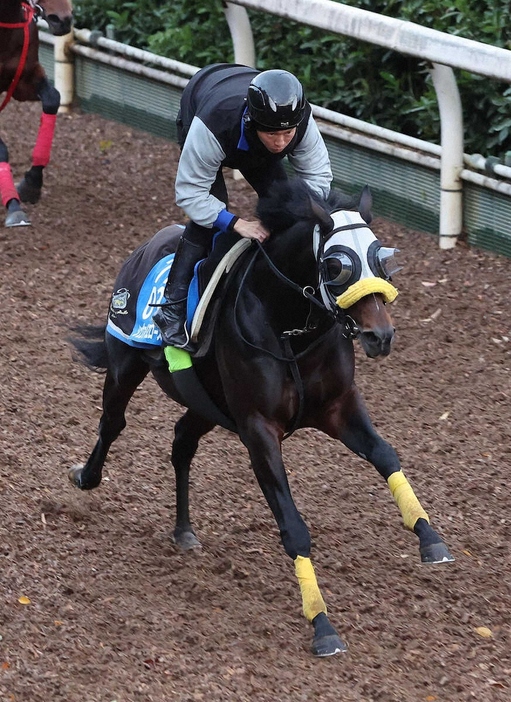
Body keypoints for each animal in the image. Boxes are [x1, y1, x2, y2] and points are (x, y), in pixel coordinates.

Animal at [69, 180, 456, 660]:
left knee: (181, 441)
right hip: (126, 361)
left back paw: (184, 530)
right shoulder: (258, 430)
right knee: (113, 421)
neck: (288, 327)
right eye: (336, 265)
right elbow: (293, 526)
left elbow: (386, 455)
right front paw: (322, 624)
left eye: (381, 256)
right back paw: (86, 476)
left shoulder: (338, 407)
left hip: (206, 404)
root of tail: (149, 244)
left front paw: (430, 537)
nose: (379, 336)